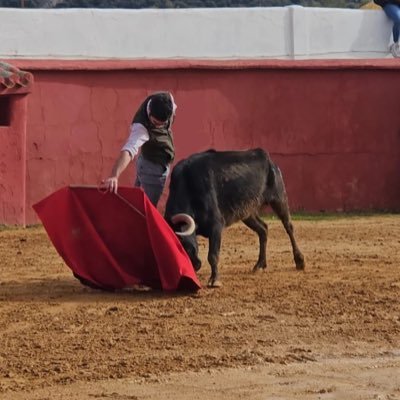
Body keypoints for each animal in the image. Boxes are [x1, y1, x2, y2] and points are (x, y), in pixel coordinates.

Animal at [164, 148, 304, 286]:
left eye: (182, 244)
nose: (196, 265)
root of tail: (268, 159)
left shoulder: (216, 225)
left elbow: (213, 255)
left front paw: (214, 280)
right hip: (247, 212)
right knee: (263, 229)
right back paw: (259, 265)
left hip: (279, 198)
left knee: (288, 227)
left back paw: (299, 261)